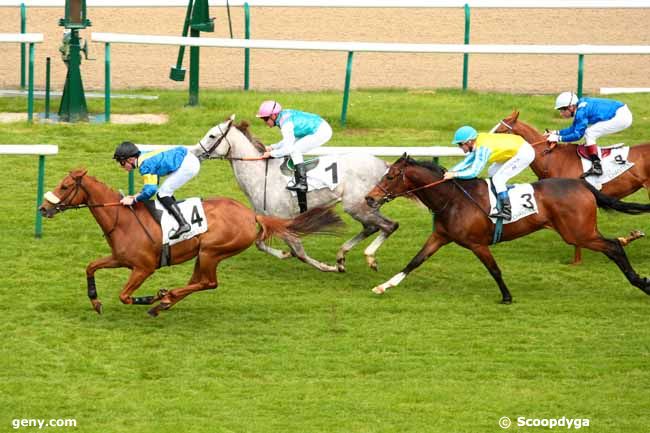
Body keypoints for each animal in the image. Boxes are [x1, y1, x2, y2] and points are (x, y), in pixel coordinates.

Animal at [39, 168, 344, 314]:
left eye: (65, 186)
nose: (43, 208)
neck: (122, 218)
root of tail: (251, 214)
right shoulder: (119, 259)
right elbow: (90, 266)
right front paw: (95, 301)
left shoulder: (143, 268)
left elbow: (124, 296)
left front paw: (149, 296)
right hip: (203, 254)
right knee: (198, 281)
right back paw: (164, 302)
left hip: (212, 251)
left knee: (208, 282)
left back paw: (163, 297)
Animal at [190, 115, 398, 270]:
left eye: (212, 136)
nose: (193, 152)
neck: (261, 174)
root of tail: (385, 165)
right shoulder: (269, 220)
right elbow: (260, 244)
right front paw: (284, 253)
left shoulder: (283, 220)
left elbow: (299, 252)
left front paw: (326, 267)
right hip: (365, 207)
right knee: (373, 227)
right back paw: (342, 257)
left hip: (356, 206)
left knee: (389, 225)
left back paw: (366, 258)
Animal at [364, 155, 648, 304]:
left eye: (390, 176)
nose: (369, 198)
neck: (453, 199)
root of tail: (583, 185)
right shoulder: (440, 236)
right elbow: (415, 261)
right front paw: (384, 286)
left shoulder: (477, 244)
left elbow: (494, 269)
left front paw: (507, 296)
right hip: (579, 232)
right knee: (614, 245)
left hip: (578, 233)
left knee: (613, 246)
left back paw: (641, 282)